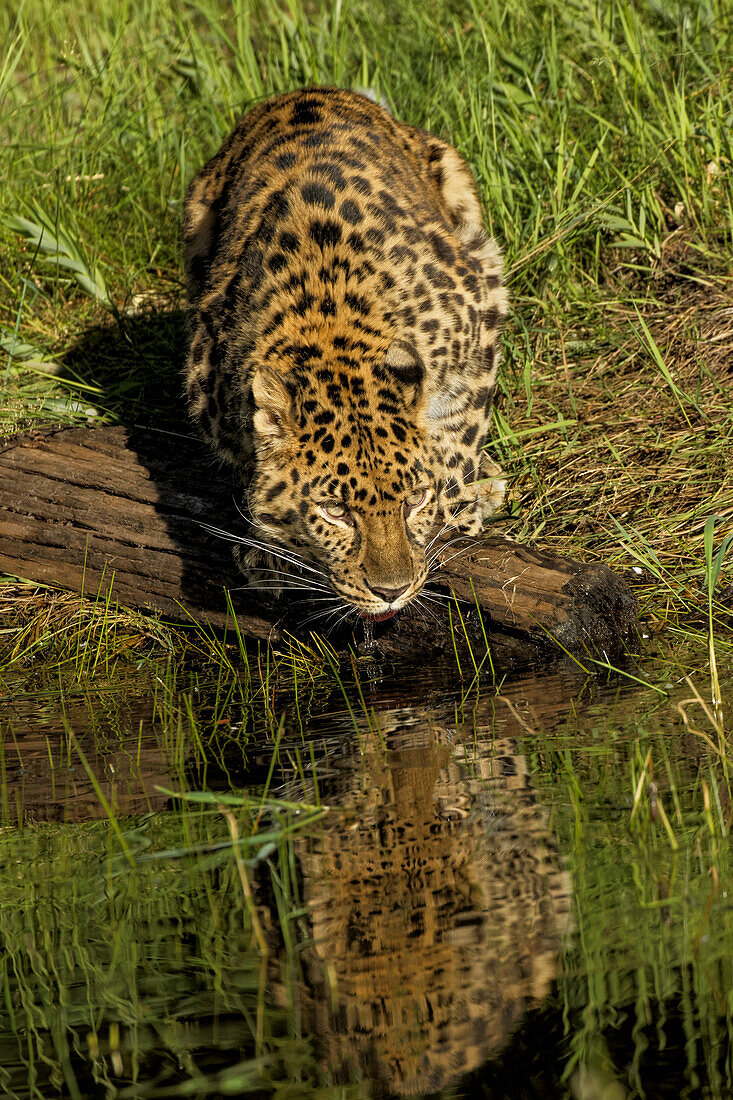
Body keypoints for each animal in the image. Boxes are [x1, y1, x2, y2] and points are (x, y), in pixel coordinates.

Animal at [180, 85, 506, 620]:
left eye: (414, 500)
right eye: (335, 512)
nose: (392, 591)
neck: (330, 325)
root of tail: (306, 89)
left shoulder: (481, 299)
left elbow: (459, 443)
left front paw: (457, 515)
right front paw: (267, 552)